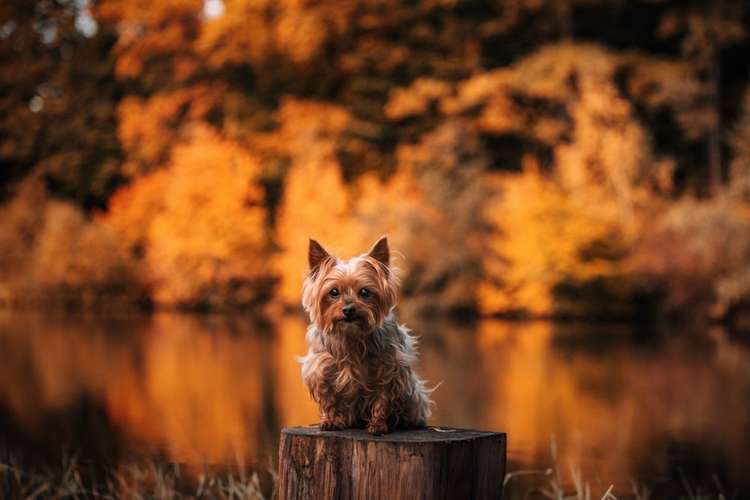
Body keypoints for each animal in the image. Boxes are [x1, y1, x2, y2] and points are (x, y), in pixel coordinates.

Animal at [298, 235, 432, 434]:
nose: (348, 310)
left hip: (413, 395)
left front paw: (378, 424)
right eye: (334, 292)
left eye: (364, 292)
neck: (351, 335)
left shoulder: (389, 368)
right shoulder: (321, 370)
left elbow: (382, 398)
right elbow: (329, 398)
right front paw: (331, 420)